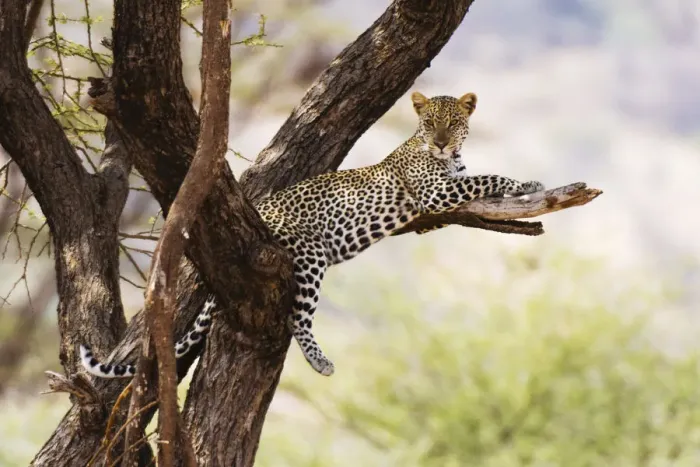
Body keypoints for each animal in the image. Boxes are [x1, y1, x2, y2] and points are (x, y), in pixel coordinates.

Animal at [80, 91, 545, 378]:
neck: (449, 158)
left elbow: (480, 179)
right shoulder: (435, 191)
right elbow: (487, 178)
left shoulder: (449, 184)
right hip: (307, 256)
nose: (442, 144)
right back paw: (320, 361)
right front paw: (528, 183)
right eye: (429, 124)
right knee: (295, 317)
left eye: (452, 123)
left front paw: (522, 185)